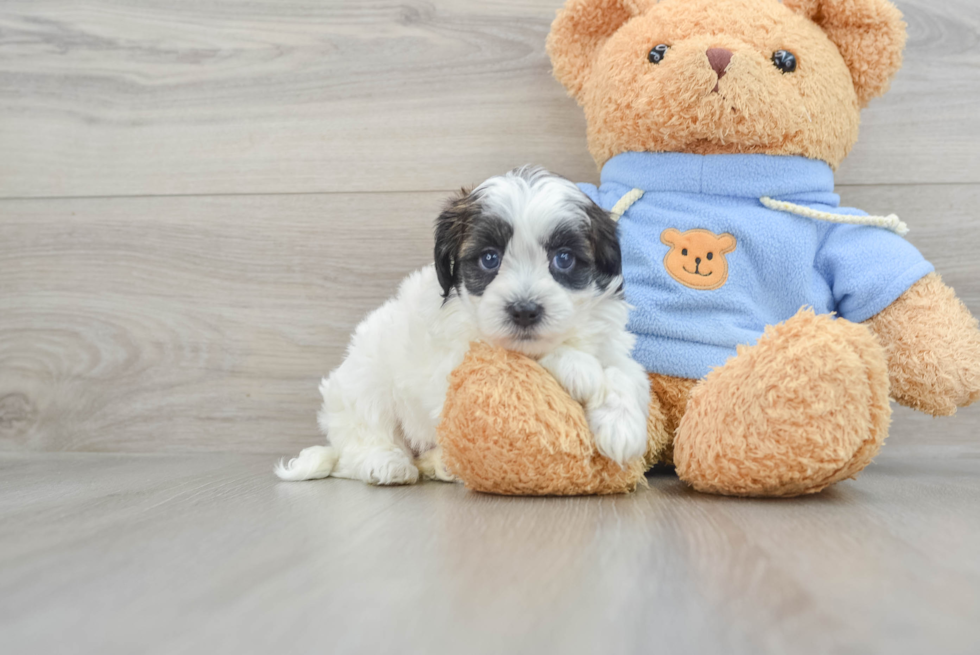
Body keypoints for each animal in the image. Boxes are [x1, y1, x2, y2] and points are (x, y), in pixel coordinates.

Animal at [276, 168, 652, 486]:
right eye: (489, 259)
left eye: (564, 259)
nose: (524, 311)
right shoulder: (462, 358)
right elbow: (523, 357)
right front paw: (579, 368)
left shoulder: (612, 344)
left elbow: (624, 372)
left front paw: (622, 426)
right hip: (363, 382)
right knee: (361, 439)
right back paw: (386, 463)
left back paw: (440, 465)